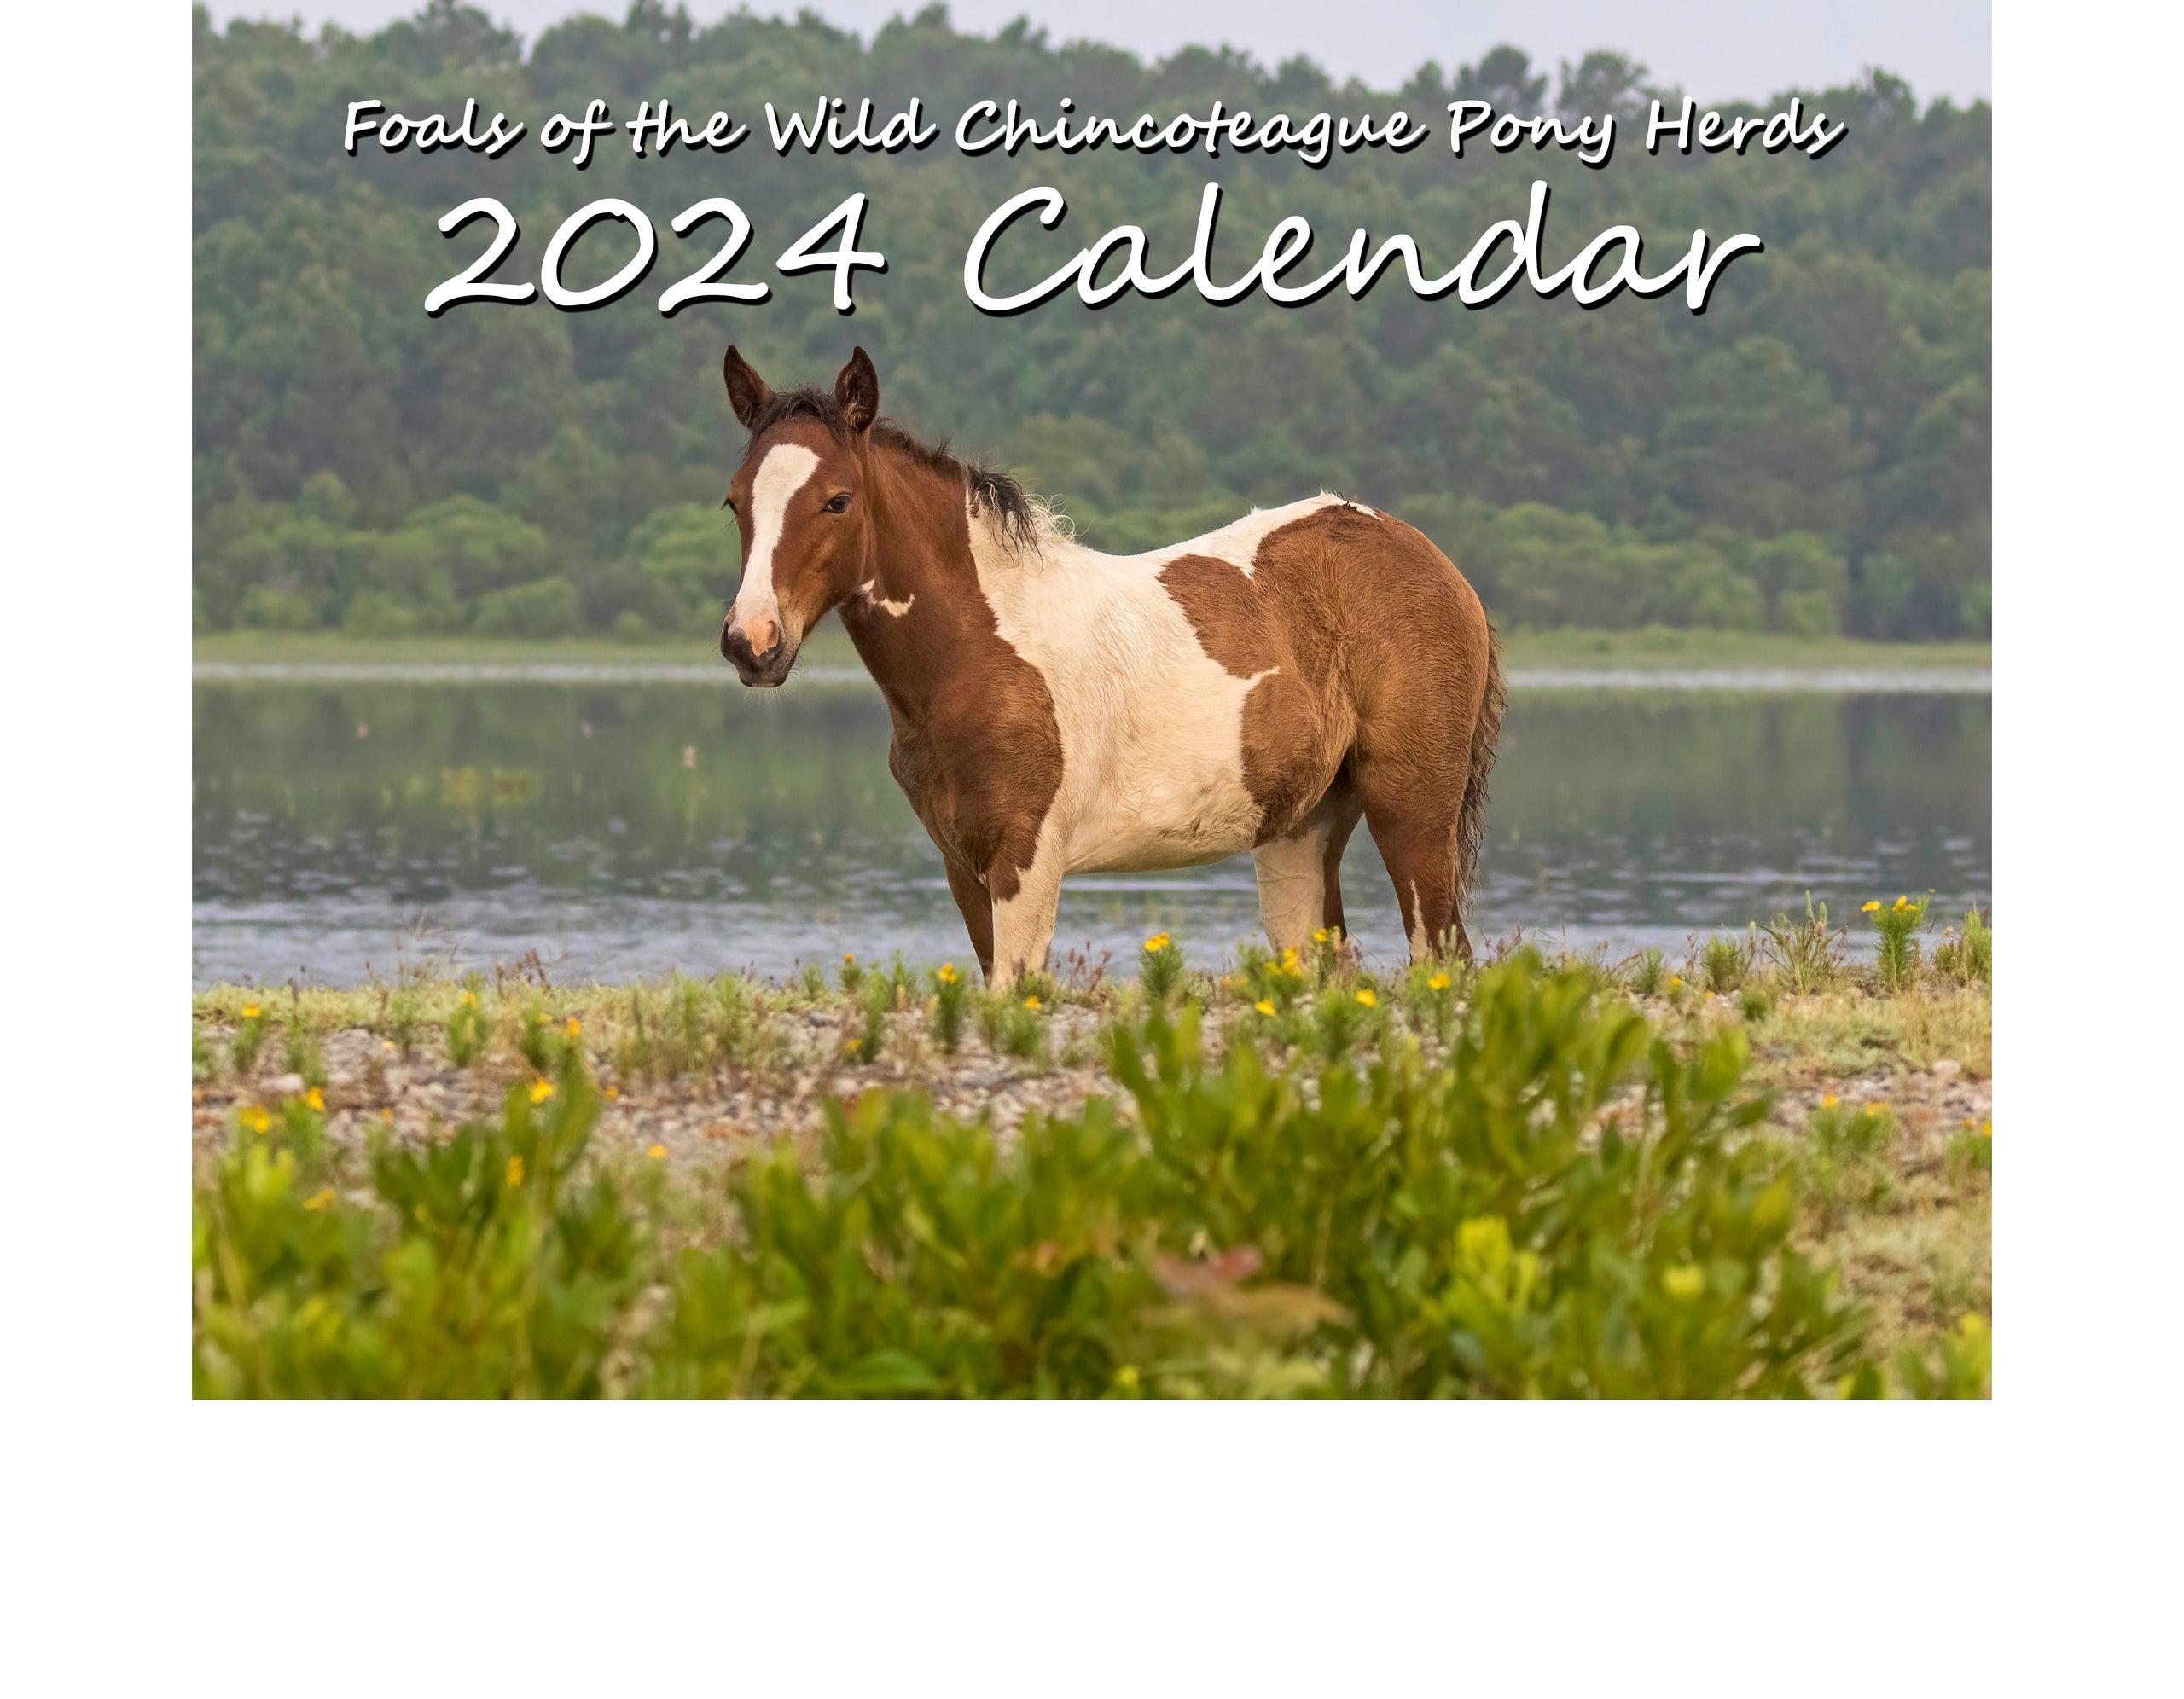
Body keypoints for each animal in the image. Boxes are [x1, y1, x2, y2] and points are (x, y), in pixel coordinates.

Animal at [716, 342, 1502, 978]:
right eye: (733, 502)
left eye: (837, 501)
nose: (751, 643)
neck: (976, 656)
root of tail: (1433, 560)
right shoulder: (962, 867)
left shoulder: (1026, 862)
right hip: (1297, 835)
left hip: (1413, 813)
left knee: (1444, 960)